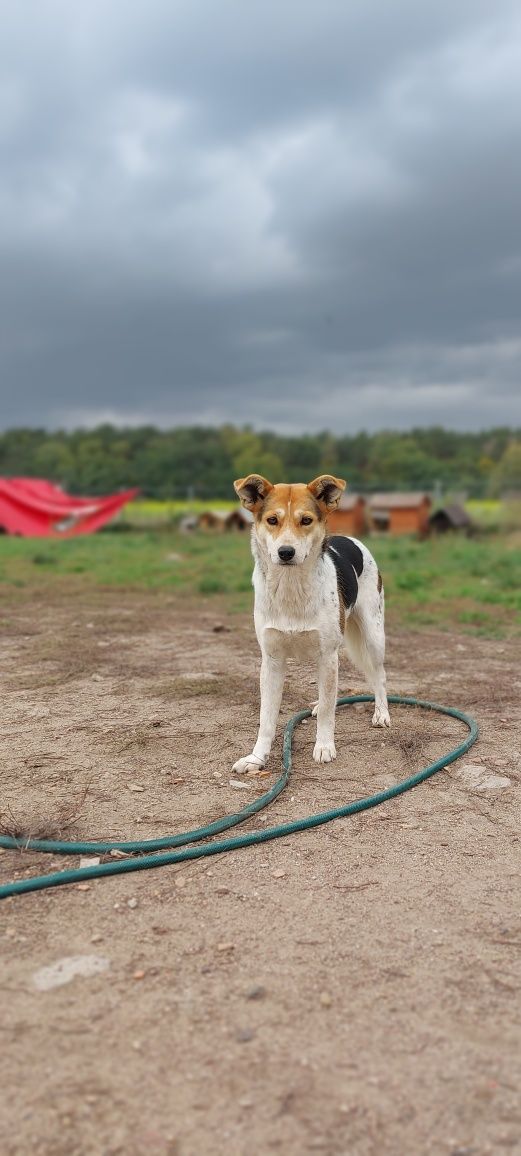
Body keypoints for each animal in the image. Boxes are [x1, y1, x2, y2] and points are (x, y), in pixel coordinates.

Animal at [233, 473, 392, 772]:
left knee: (379, 676)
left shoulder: (328, 654)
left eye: (306, 520)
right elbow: (266, 718)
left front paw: (324, 746)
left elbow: (329, 712)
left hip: (373, 636)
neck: (291, 586)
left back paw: (381, 713)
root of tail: (351, 538)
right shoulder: (271, 660)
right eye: (272, 520)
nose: (286, 552)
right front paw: (257, 758)